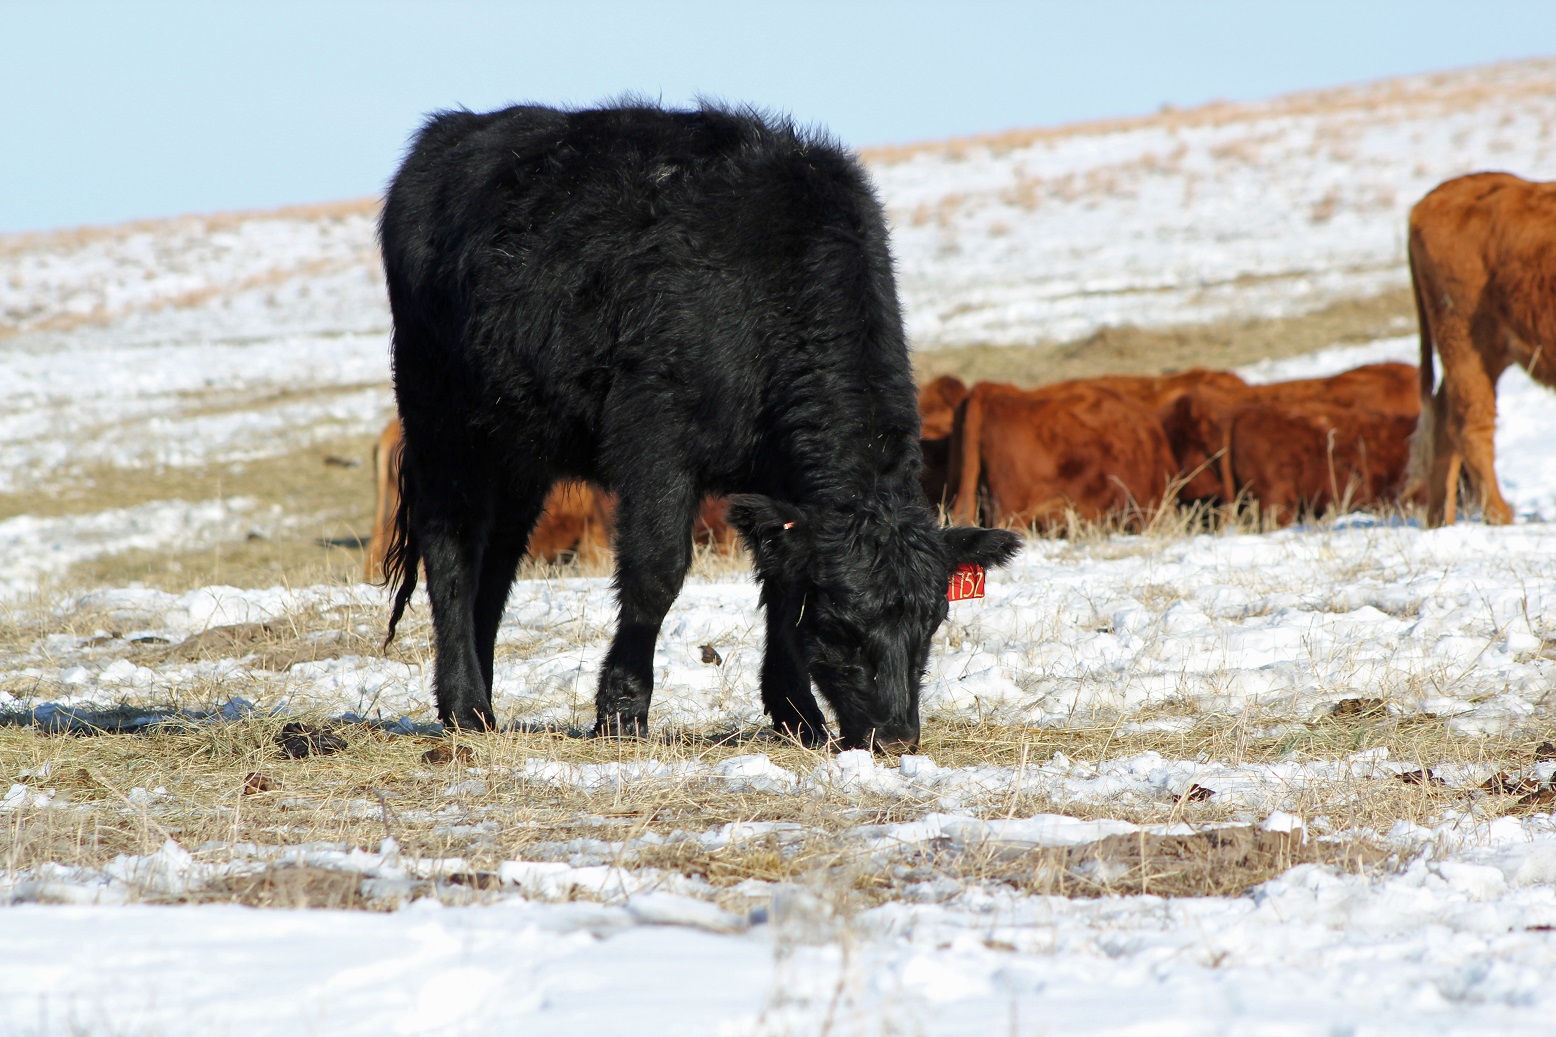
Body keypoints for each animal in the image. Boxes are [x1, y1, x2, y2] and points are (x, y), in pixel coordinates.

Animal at [378, 102, 1020, 750]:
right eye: (840, 621)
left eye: (933, 620)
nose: (895, 735)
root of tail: (452, 130)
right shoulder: (654, 444)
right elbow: (656, 573)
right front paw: (622, 713)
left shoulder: (776, 486)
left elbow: (781, 585)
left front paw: (797, 715)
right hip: (440, 418)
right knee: (453, 547)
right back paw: (462, 706)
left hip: (519, 448)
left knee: (500, 556)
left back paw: (485, 708)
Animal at [1405, 172, 1556, 526]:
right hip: (1465, 341)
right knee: (1468, 424)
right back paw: (1500, 518)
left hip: (1483, 350)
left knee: (1444, 419)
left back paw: (1439, 522)